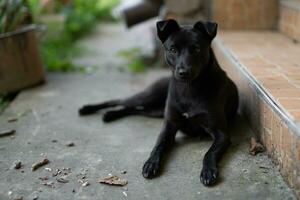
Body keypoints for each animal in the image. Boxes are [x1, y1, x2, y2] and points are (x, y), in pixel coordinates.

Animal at [78, 19, 238, 186]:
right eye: (173, 49)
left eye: (196, 49)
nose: (183, 72)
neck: (188, 89)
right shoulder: (169, 125)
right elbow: (158, 145)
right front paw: (151, 163)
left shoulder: (221, 134)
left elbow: (210, 152)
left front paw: (208, 170)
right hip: (149, 97)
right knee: (120, 101)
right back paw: (89, 109)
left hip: (155, 110)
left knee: (134, 109)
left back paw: (110, 115)